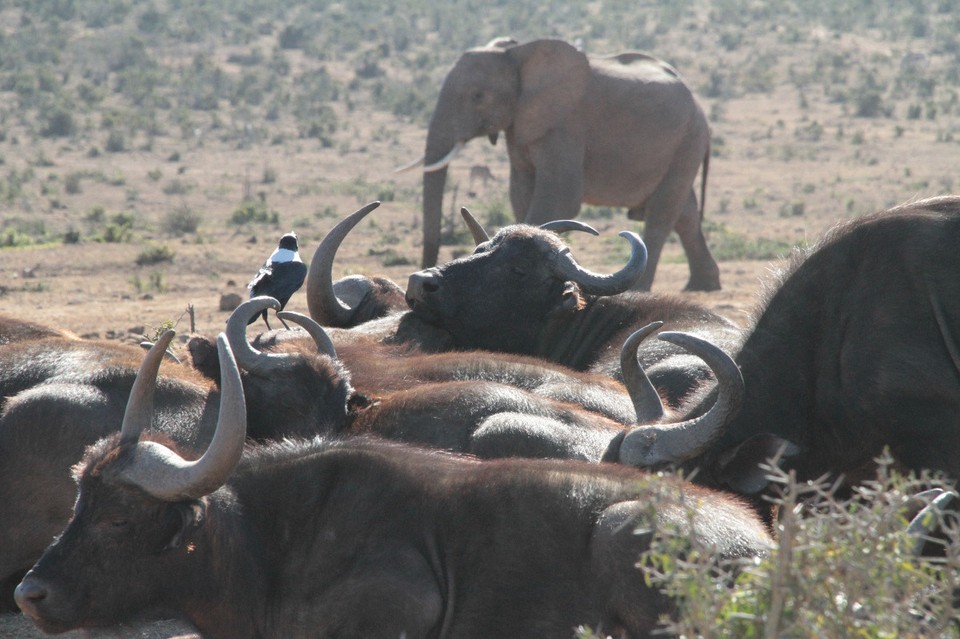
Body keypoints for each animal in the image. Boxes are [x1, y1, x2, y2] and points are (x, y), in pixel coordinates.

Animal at [15, 336, 772, 639]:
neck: (265, 544)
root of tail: (763, 545)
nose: (30, 594)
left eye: (118, 518)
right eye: (79, 503)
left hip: (621, 528)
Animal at [398, 37, 720, 292]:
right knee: (686, 214)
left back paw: (640, 291)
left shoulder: (564, 123)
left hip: (688, 141)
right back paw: (703, 286)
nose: (422, 279)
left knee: (662, 213)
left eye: (478, 96)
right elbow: (521, 193)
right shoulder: (521, 126)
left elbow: (559, 197)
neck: (517, 53)